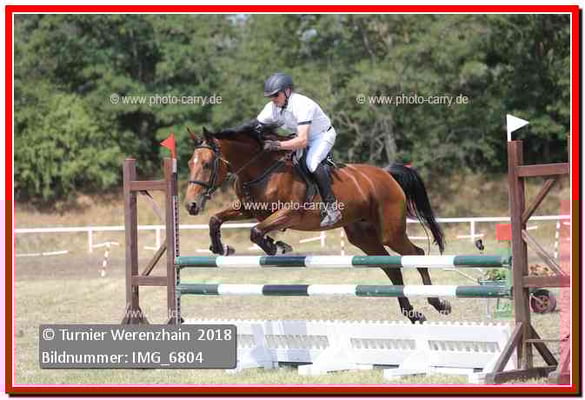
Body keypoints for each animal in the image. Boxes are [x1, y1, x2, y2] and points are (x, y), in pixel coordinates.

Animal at [183, 122, 449, 323]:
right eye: (189, 164)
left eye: (206, 164)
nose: (191, 205)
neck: (261, 170)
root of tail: (386, 174)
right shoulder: (249, 209)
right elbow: (216, 220)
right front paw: (221, 247)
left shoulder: (289, 213)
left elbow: (256, 232)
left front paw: (278, 247)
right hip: (362, 236)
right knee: (391, 266)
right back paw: (411, 312)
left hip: (390, 232)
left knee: (416, 254)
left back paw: (438, 302)